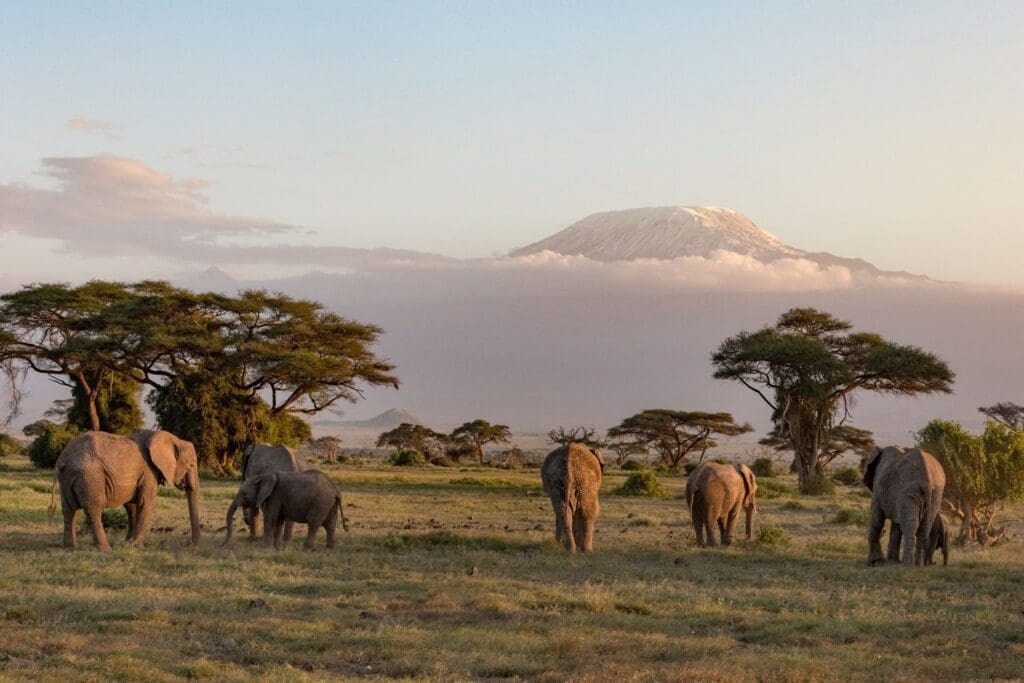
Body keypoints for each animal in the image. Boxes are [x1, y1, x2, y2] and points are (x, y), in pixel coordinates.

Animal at [50, 430, 202, 552]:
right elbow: (146, 504)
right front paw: (136, 547)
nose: (190, 545)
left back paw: (70, 547)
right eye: (191, 465)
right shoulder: (149, 472)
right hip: (90, 478)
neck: (173, 439)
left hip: (68, 479)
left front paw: (127, 544)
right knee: (93, 510)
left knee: (69, 510)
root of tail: (62, 460)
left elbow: (132, 506)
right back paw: (106, 550)